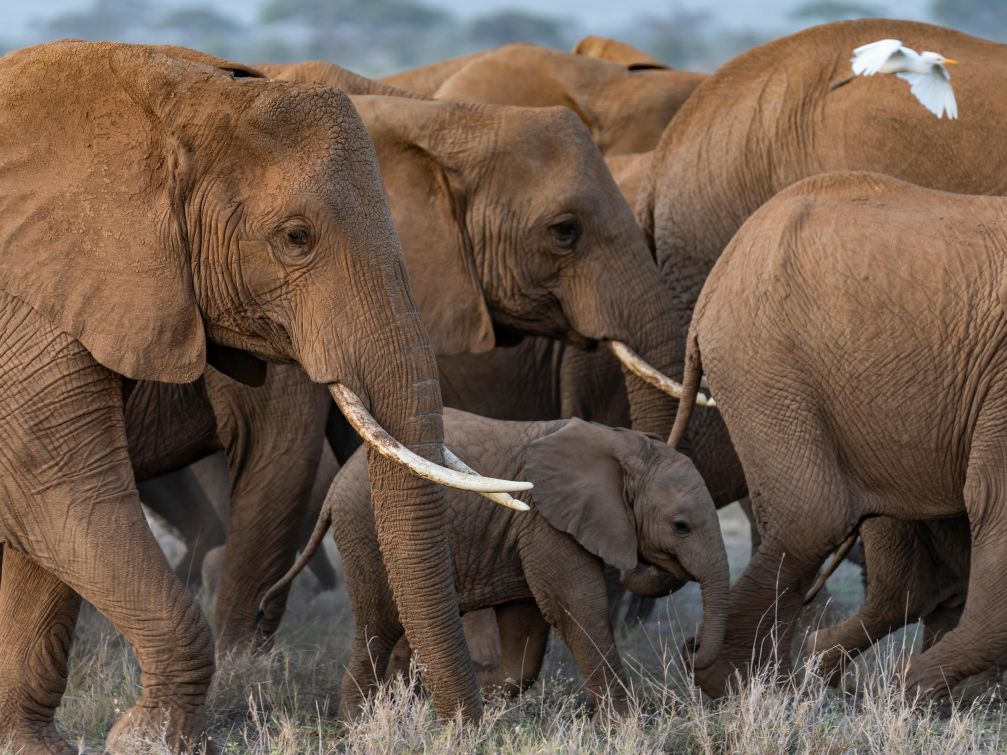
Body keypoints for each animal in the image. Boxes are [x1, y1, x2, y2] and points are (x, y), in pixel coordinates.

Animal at [0, 41, 529, 751]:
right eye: (296, 237)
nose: (468, 730)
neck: (163, 92)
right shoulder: (28, 313)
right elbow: (59, 491)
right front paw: (150, 740)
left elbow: (45, 531)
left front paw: (34, 747)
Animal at [264, 410, 729, 719]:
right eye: (681, 526)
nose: (690, 646)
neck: (620, 444)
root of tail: (336, 485)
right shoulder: (543, 521)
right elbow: (576, 609)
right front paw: (625, 723)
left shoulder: (522, 531)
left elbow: (525, 638)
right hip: (365, 532)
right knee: (377, 627)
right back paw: (357, 722)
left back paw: (408, 697)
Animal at [669, 170, 1007, 701]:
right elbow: (995, 498)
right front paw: (907, 689)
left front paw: (919, 691)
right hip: (765, 360)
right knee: (813, 515)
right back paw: (748, 682)